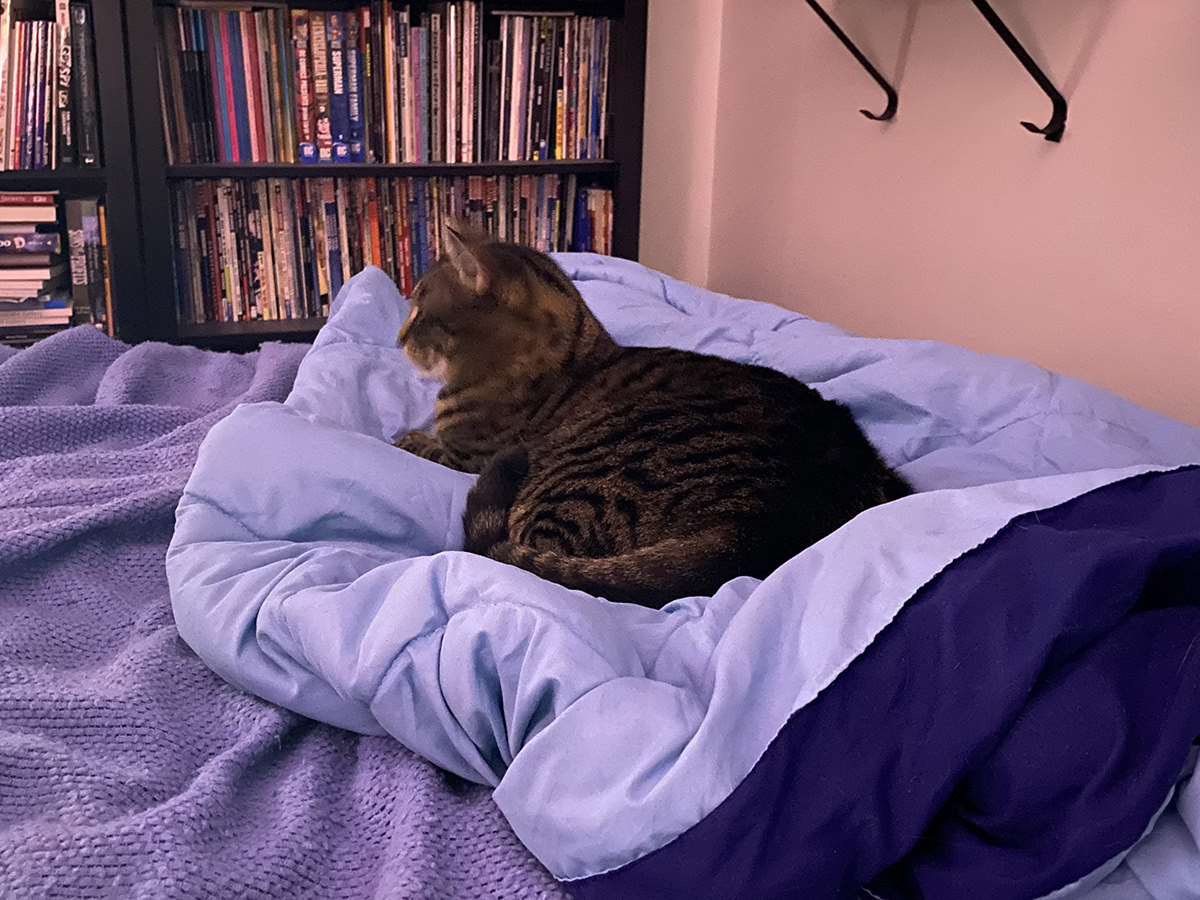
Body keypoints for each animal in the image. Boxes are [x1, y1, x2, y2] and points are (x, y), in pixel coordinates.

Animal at [393, 222, 907, 609]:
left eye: (418, 310)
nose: (397, 339)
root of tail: (767, 524)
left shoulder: (466, 456)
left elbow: (418, 443)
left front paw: (404, 437)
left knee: (515, 561)